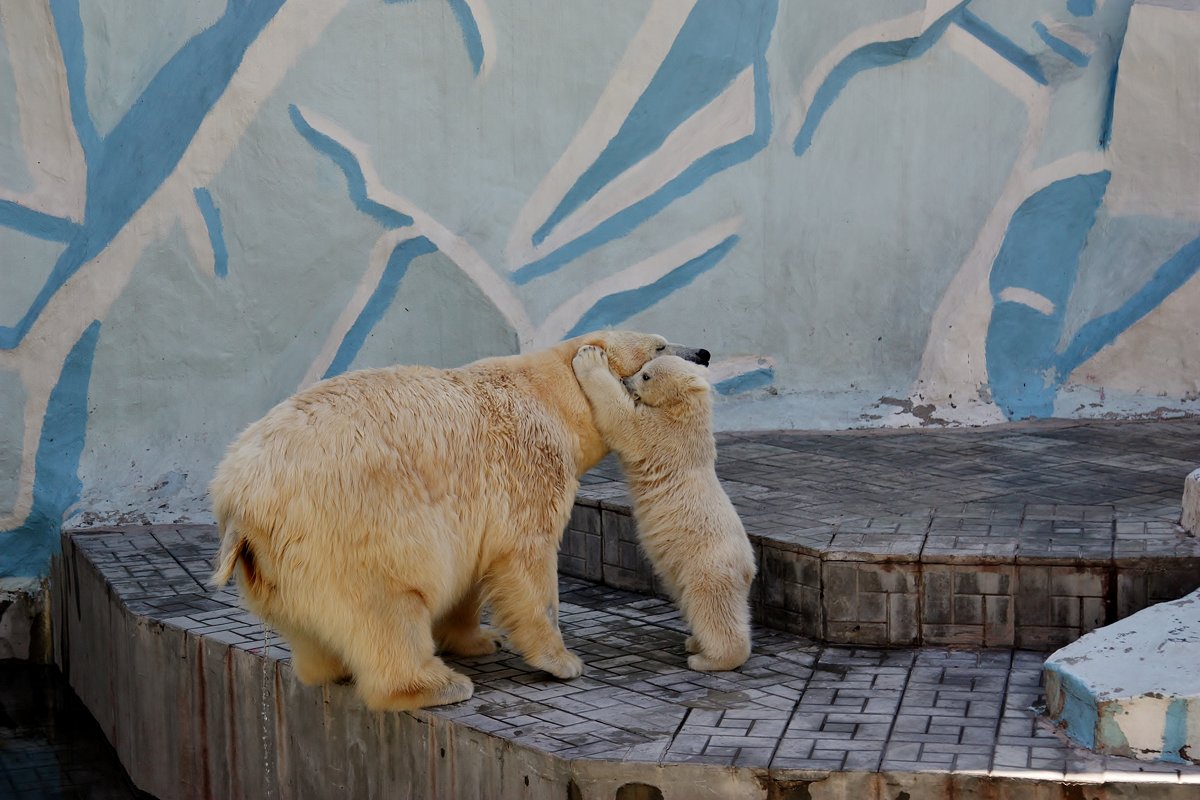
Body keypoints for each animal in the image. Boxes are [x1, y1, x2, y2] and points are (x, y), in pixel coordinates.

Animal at [211, 328, 705, 710]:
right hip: (356, 522)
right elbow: (526, 560)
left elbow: (470, 571)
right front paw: (563, 661)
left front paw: (481, 638)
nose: (702, 353)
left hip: (274, 566)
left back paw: (326, 669)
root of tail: (242, 494)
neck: (552, 397)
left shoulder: (472, 506)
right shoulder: (527, 466)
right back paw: (439, 685)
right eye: (659, 346)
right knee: (387, 607)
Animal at [576, 347, 753, 671]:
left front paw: (590, 360)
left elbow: (625, 423)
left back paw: (708, 658)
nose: (626, 380)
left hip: (706, 564)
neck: (686, 412)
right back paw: (695, 641)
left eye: (646, 375)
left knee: (711, 606)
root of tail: (749, 569)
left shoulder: (662, 435)